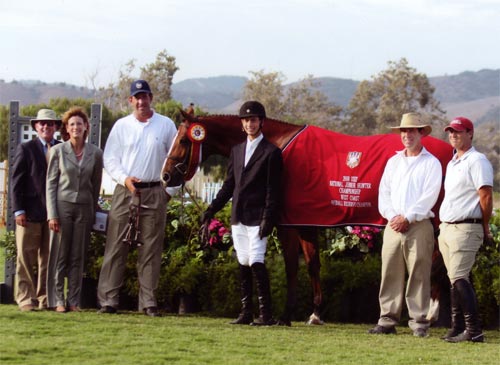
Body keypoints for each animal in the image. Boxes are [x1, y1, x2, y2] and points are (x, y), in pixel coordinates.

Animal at [161, 110, 454, 324]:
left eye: (184, 140)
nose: (165, 176)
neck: (280, 147)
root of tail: (451, 151)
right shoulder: (306, 222)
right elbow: (313, 264)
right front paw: (315, 313)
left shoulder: (288, 224)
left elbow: (293, 266)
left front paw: (286, 315)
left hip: (435, 222)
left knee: (438, 263)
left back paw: (433, 316)